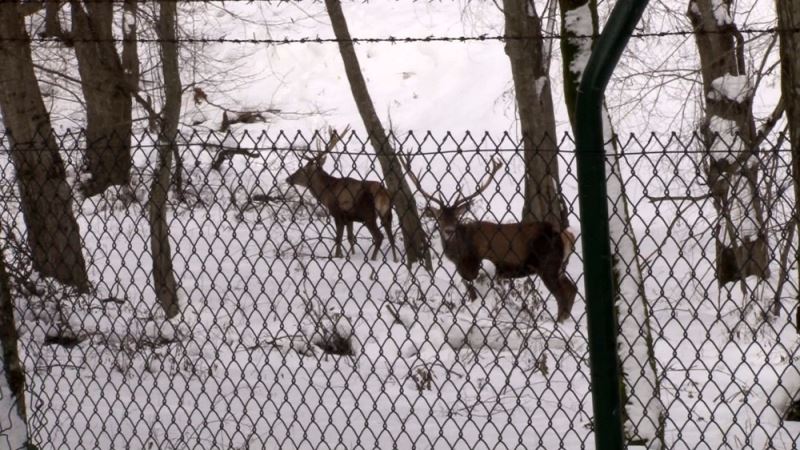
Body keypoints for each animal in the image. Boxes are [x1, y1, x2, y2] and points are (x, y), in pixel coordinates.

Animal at [288, 126, 400, 260]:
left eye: (302, 169)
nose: (288, 179)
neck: (327, 193)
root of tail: (383, 193)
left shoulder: (337, 213)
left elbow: (338, 238)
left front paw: (337, 256)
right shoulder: (349, 218)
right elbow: (350, 237)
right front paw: (350, 255)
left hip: (368, 214)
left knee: (379, 237)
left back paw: (373, 259)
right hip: (387, 214)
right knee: (391, 237)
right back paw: (395, 259)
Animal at [404, 156, 580, 322]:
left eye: (456, 218)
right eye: (439, 218)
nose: (448, 230)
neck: (460, 253)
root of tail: (565, 235)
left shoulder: (475, 266)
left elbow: (475, 295)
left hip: (548, 264)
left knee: (563, 294)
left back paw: (558, 322)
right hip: (558, 266)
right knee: (572, 288)